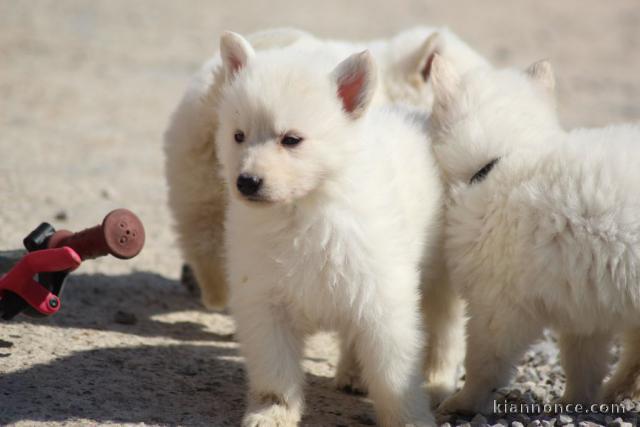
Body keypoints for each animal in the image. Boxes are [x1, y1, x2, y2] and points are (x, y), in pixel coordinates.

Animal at [215, 31, 444, 426]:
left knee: (447, 322)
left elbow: (393, 372)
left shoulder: (382, 297)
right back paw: (353, 374)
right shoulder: (265, 301)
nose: (246, 181)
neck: (303, 213)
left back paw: (440, 375)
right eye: (238, 136)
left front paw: (409, 417)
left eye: (291, 139)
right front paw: (272, 412)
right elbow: (275, 372)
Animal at [424, 54, 640, 414]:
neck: (500, 159)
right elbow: (582, 363)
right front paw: (573, 403)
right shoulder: (585, 307)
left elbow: (484, 362)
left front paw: (461, 404)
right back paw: (617, 391)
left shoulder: (497, 303)